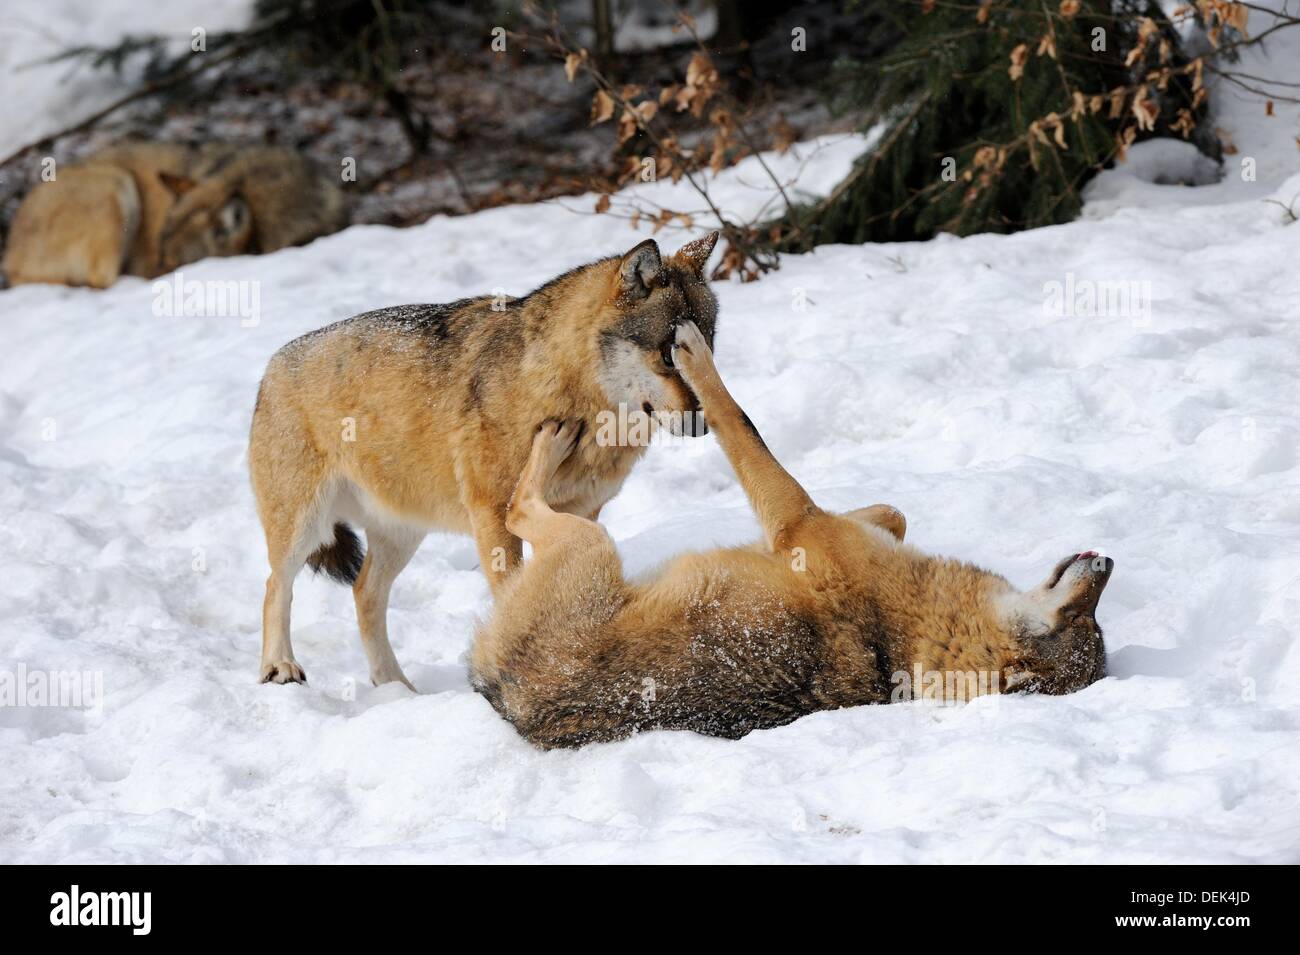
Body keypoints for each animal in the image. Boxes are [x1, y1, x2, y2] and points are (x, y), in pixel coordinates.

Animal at [473, 320, 1112, 748]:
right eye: (1091, 616)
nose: (1107, 563)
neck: (916, 628)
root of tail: (506, 699)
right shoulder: (816, 529)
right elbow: (894, 512)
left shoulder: (798, 518)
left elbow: (738, 420)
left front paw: (695, 354)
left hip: (590, 544)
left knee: (517, 509)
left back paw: (551, 442)